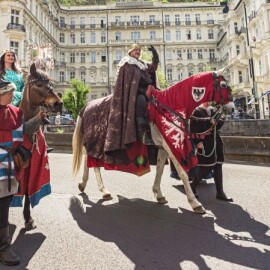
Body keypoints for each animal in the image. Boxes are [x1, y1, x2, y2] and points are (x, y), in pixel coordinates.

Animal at [72, 70, 234, 214]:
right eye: (223, 85)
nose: (232, 108)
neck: (171, 103)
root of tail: (87, 106)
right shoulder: (171, 145)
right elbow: (182, 172)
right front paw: (195, 203)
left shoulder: (162, 147)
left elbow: (160, 169)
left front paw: (158, 193)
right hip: (96, 141)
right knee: (94, 165)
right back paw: (103, 190)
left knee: (88, 162)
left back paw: (83, 185)